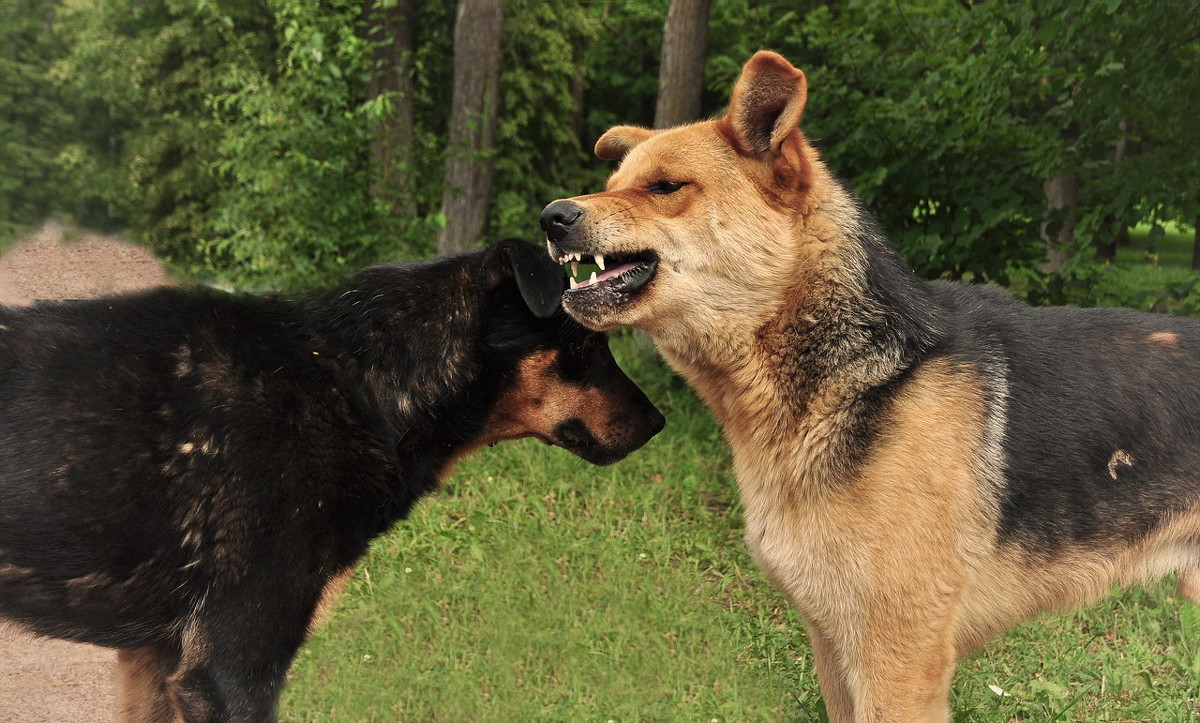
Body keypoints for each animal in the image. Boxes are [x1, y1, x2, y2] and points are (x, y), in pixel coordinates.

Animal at [540, 47, 1200, 715]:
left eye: (666, 187)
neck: (860, 378)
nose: (552, 217)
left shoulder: (897, 663)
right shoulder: (835, 647)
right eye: (614, 185)